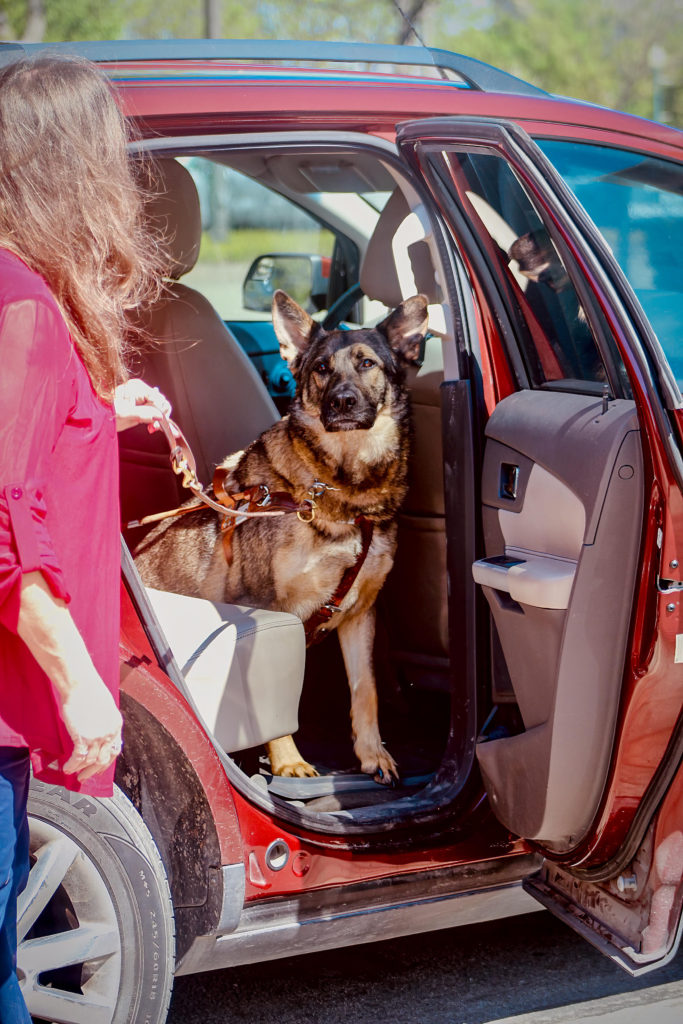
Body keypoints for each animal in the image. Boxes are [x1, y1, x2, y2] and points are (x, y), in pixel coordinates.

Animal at [135, 288, 428, 782]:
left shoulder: (359, 615)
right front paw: (288, 761)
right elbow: (272, 702)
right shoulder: (268, 610)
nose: (342, 402)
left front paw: (373, 754)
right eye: (322, 369)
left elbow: (365, 690)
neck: (340, 488)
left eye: (367, 364)